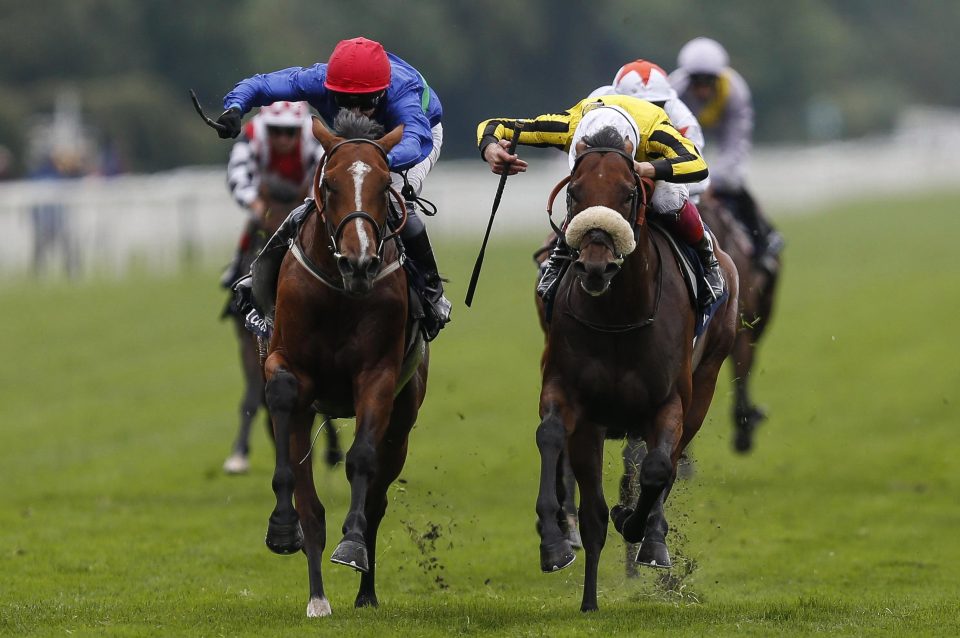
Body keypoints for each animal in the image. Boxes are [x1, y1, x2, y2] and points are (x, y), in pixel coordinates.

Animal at [532, 127, 736, 612]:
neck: (617, 318)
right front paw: (558, 550)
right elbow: (555, 445)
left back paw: (651, 535)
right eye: (573, 192)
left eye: (628, 193)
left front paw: (640, 529)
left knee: (671, 460)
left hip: (704, 384)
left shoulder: (669, 401)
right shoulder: (577, 403)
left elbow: (657, 469)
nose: (595, 264)